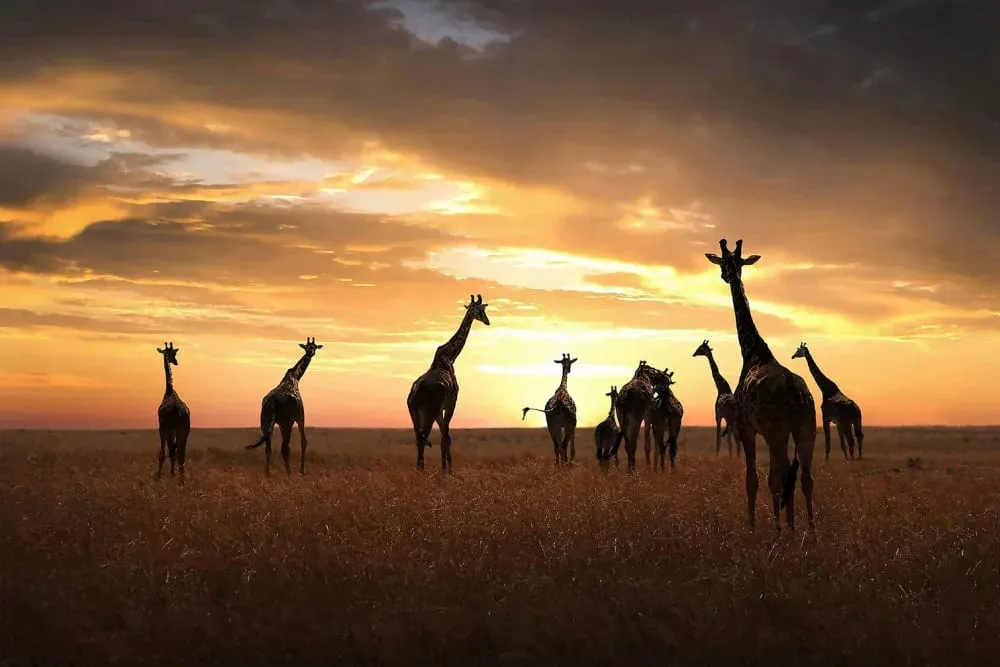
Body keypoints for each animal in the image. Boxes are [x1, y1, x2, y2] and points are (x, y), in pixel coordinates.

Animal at [155, 342, 191, 480]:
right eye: (173, 354)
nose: (176, 362)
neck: (170, 391)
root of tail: (177, 411)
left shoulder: (162, 427)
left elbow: (165, 453)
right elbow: (173, 451)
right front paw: (172, 474)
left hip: (167, 429)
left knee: (165, 453)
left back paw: (160, 477)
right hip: (185, 430)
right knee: (181, 455)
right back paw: (181, 479)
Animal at [246, 337, 322, 475]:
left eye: (314, 347)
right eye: (308, 346)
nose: (310, 352)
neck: (295, 377)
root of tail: (271, 403)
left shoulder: (281, 423)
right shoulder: (299, 417)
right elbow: (304, 441)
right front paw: (302, 471)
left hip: (265, 423)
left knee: (268, 448)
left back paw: (268, 474)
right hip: (286, 422)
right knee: (284, 448)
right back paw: (289, 474)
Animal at [407, 294, 490, 472]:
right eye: (481, 310)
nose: (488, 321)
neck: (450, 356)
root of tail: (414, 396)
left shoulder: (440, 409)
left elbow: (444, 436)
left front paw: (445, 468)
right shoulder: (451, 403)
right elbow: (447, 436)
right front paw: (448, 471)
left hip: (414, 413)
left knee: (419, 438)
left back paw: (419, 470)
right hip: (428, 412)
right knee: (424, 437)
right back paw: (422, 471)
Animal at [705, 239, 816, 531]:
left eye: (725, 263)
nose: (725, 276)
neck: (753, 351)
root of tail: (796, 395)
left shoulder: (747, 427)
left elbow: (752, 480)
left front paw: (753, 527)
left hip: (775, 430)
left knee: (780, 476)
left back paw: (784, 532)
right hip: (807, 428)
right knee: (805, 478)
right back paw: (810, 532)